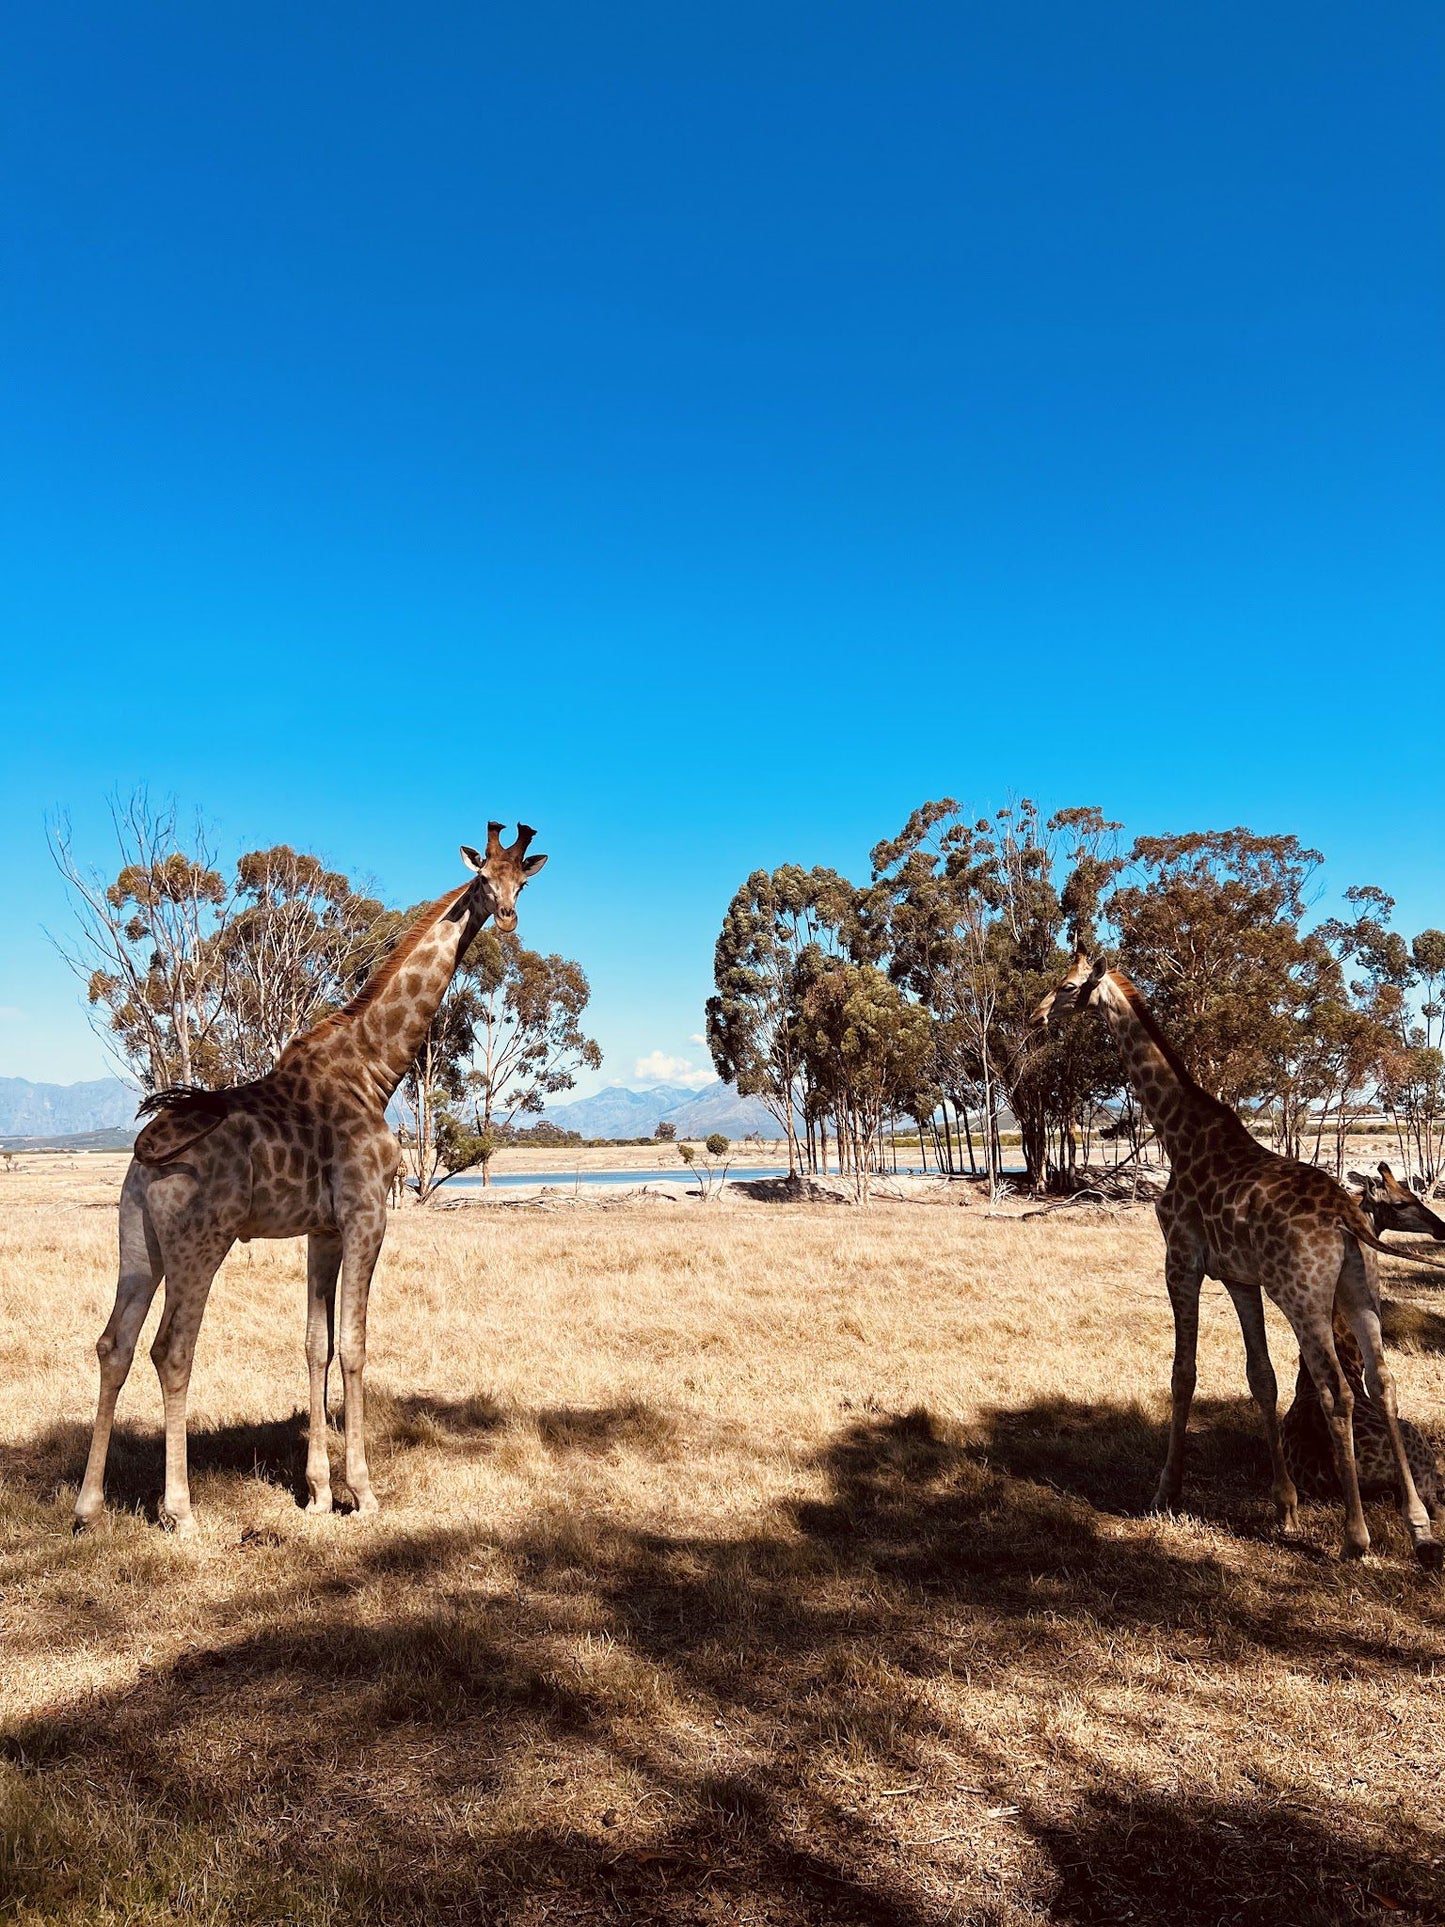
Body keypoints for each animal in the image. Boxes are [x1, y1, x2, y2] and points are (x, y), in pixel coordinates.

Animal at [73, 824, 547, 1533]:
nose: (511, 918)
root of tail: (148, 1147)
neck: (375, 1069)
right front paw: (365, 1494)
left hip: (138, 1241)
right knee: (171, 1350)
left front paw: (320, 1493)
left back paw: (88, 1504)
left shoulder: (322, 1230)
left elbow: (314, 1344)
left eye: (523, 880)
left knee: (115, 1344)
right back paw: (180, 1509)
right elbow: (353, 1345)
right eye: (484, 878)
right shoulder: (367, 1214)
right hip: (200, 1242)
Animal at [1032, 955, 1441, 1572]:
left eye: (1066, 985)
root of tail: (1348, 1217)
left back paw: (1356, 1536)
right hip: (1359, 1290)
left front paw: (1165, 1493)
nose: (1034, 1016)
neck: (1177, 1133)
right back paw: (1418, 1529)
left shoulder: (1180, 1260)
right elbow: (1261, 1378)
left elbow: (1183, 1374)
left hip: (1302, 1295)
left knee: (1339, 1392)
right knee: (1383, 1382)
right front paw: (1285, 1508)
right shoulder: (1239, 1279)